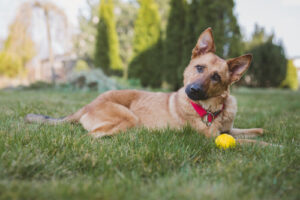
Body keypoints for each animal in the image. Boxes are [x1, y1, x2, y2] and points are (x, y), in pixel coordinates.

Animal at [25, 27, 266, 145]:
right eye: (199, 68)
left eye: (216, 77)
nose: (193, 90)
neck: (212, 110)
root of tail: (88, 105)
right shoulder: (210, 138)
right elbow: (251, 143)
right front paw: (273, 147)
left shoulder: (227, 130)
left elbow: (253, 132)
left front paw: (261, 132)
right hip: (127, 117)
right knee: (88, 137)